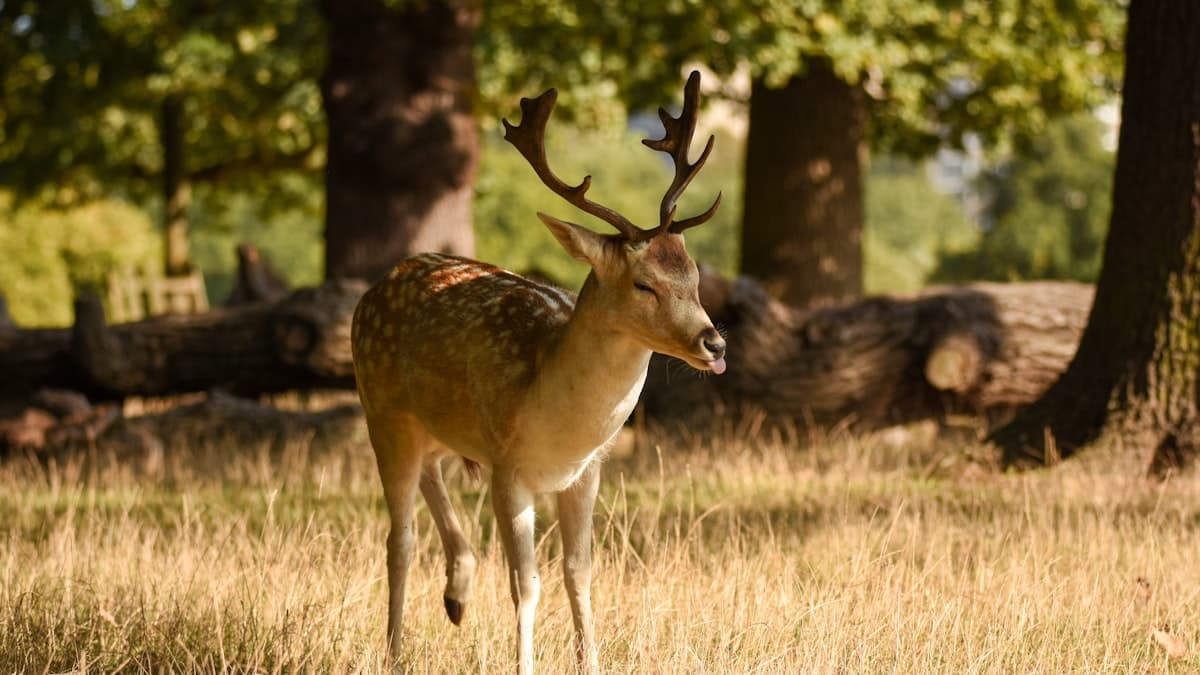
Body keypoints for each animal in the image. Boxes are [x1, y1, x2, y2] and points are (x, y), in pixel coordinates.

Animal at [350, 70, 726, 674]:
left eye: (692, 274)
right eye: (643, 284)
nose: (713, 342)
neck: (556, 420)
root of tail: (380, 283)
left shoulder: (588, 471)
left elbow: (580, 572)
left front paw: (591, 662)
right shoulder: (508, 467)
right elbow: (526, 583)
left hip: (436, 428)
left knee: (432, 476)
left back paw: (457, 594)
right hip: (380, 409)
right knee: (399, 540)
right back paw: (394, 650)